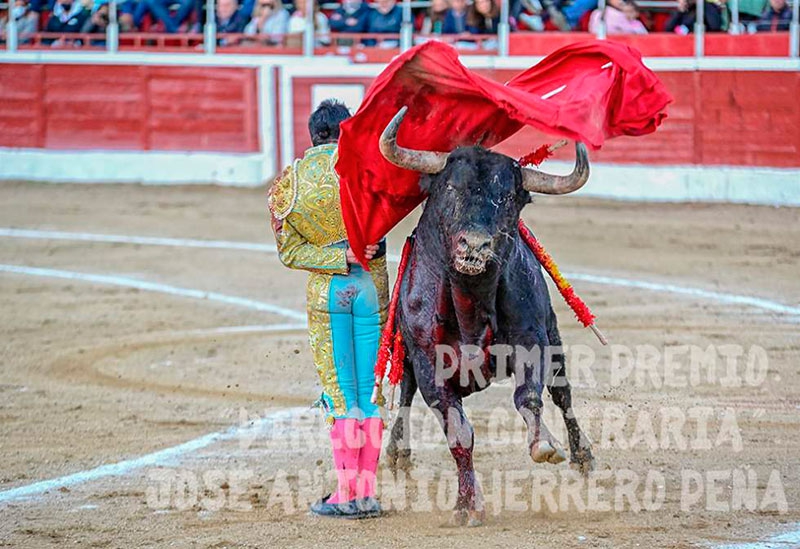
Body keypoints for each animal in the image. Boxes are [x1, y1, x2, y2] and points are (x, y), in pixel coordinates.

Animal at [376, 106, 592, 524]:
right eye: (450, 189)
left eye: (506, 197)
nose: (474, 245)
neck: (469, 302)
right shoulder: (427, 364)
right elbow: (459, 434)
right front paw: (466, 504)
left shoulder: (532, 341)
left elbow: (530, 397)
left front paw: (544, 444)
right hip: (407, 358)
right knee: (405, 395)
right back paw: (397, 455)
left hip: (555, 336)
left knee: (563, 392)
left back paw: (582, 454)